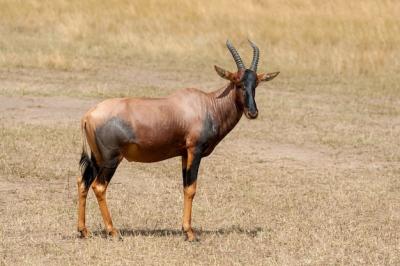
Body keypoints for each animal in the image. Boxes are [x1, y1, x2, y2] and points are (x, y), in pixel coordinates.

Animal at [77, 39, 278, 241]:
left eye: (256, 83)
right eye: (237, 82)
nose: (252, 112)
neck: (206, 104)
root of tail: (88, 115)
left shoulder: (183, 154)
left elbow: (185, 187)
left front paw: (186, 229)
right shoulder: (194, 151)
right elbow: (191, 188)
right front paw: (190, 233)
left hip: (97, 158)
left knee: (83, 182)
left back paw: (83, 231)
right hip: (111, 159)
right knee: (99, 186)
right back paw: (113, 231)